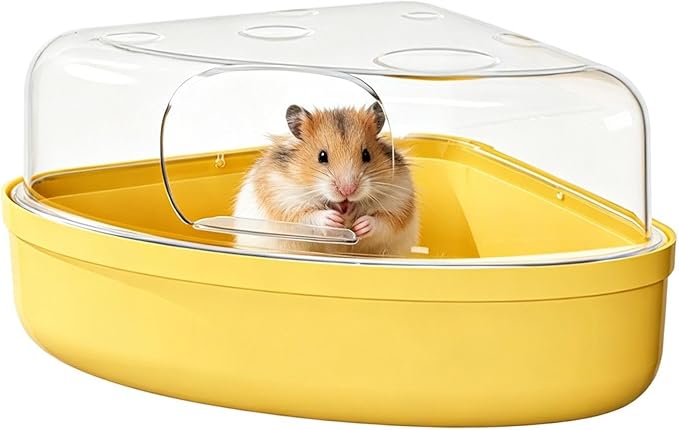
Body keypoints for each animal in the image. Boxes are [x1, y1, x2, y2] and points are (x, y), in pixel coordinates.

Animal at [232, 102, 418, 256]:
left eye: (366, 154)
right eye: (322, 156)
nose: (347, 191)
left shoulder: (399, 201)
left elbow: (383, 221)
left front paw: (361, 224)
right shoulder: (284, 202)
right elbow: (308, 218)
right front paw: (333, 219)